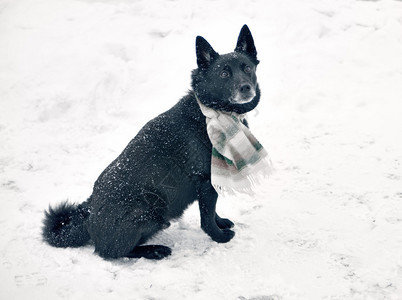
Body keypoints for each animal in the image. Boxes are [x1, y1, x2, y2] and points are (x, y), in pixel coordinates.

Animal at [42, 25, 260, 260]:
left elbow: (212, 211)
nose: (246, 88)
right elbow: (207, 217)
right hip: (150, 210)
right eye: (224, 73)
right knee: (111, 252)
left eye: (247, 68)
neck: (210, 112)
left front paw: (221, 223)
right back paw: (154, 250)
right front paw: (219, 237)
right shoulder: (205, 180)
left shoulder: (210, 183)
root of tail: (88, 217)